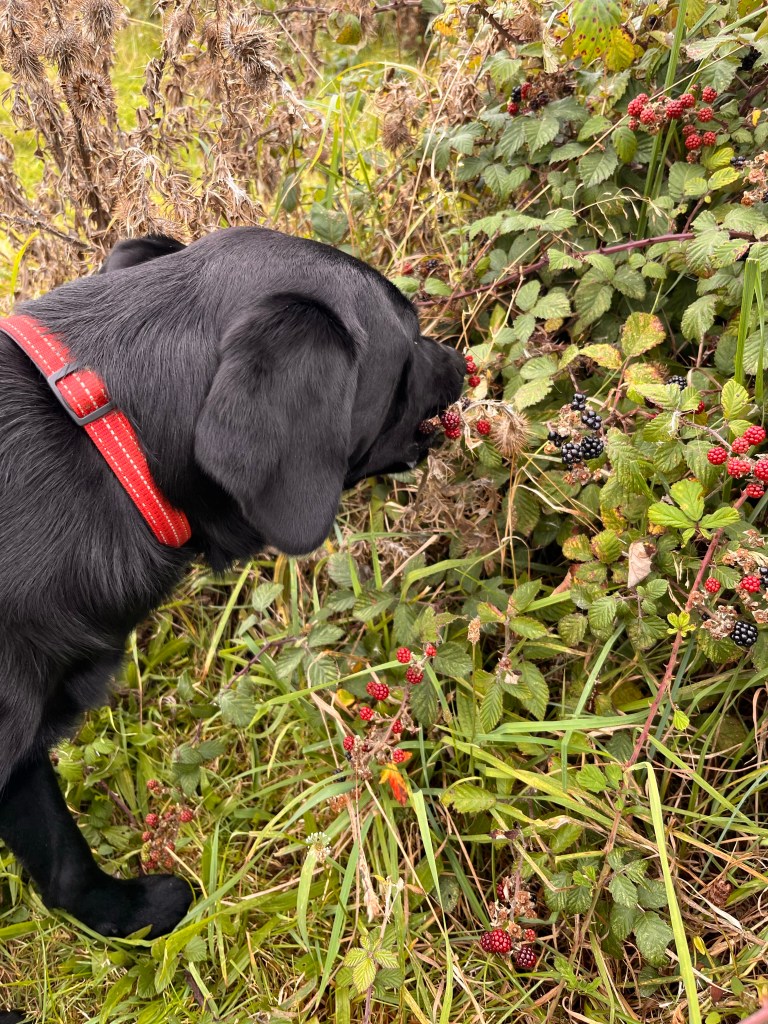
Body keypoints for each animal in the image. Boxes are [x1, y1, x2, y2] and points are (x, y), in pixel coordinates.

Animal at [0, 227, 464, 1004]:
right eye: (405, 348)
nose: (459, 358)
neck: (107, 440)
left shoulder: (24, 751)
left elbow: (63, 860)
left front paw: (123, 916)